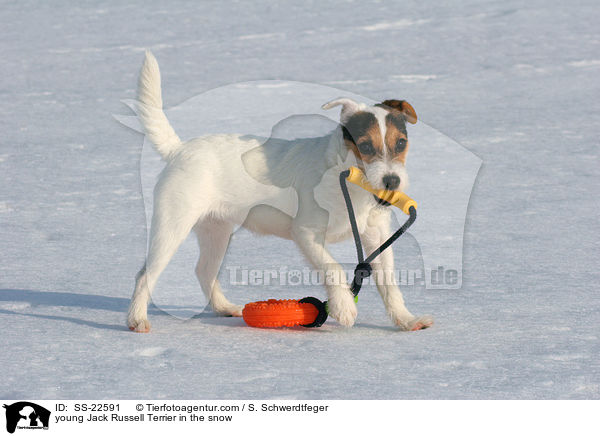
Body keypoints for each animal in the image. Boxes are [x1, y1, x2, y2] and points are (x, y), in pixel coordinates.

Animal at [127, 50, 432, 330]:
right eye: (365, 146)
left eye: (401, 143)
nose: (392, 181)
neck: (344, 177)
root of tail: (179, 150)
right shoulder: (307, 233)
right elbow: (332, 267)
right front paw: (344, 307)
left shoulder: (376, 236)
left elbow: (389, 285)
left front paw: (406, 320)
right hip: (173, 225)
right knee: (145, 274)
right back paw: (137, 319)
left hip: (217, 230)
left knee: (204, 271)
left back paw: (224, 307)